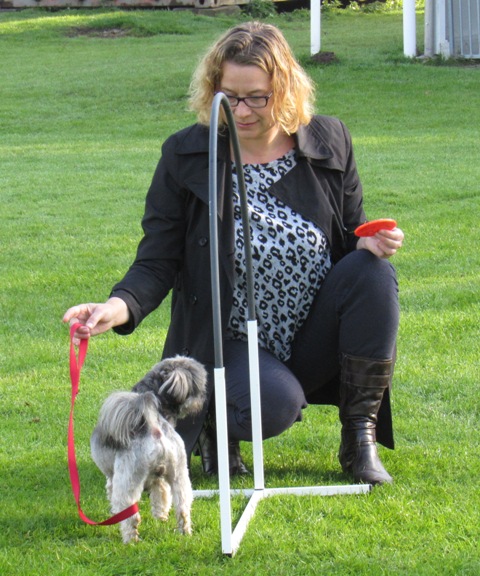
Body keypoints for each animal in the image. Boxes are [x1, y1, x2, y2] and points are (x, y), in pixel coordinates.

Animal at [90, 356, 207, 543]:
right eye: (198, 387)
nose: (203, 399)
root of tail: (154, 427)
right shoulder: (159, 480)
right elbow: (162, 497)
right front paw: (161, 517)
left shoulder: (112, 477)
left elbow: (110, 489)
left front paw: (113, 512)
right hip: (179, 475)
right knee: (182, 507)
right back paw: (184, 532)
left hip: (128, 480)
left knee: (131, 514)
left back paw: (130, 539)